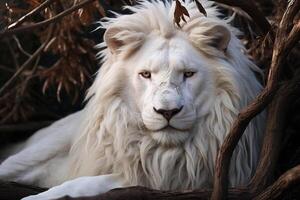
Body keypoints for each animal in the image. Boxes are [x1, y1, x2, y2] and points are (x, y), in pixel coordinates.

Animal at [0, 0, 264, 199]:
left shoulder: (173, 181)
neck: (162, 153)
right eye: (146, 74)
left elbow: (87, 183)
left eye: (188, 74)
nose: (167, 112)